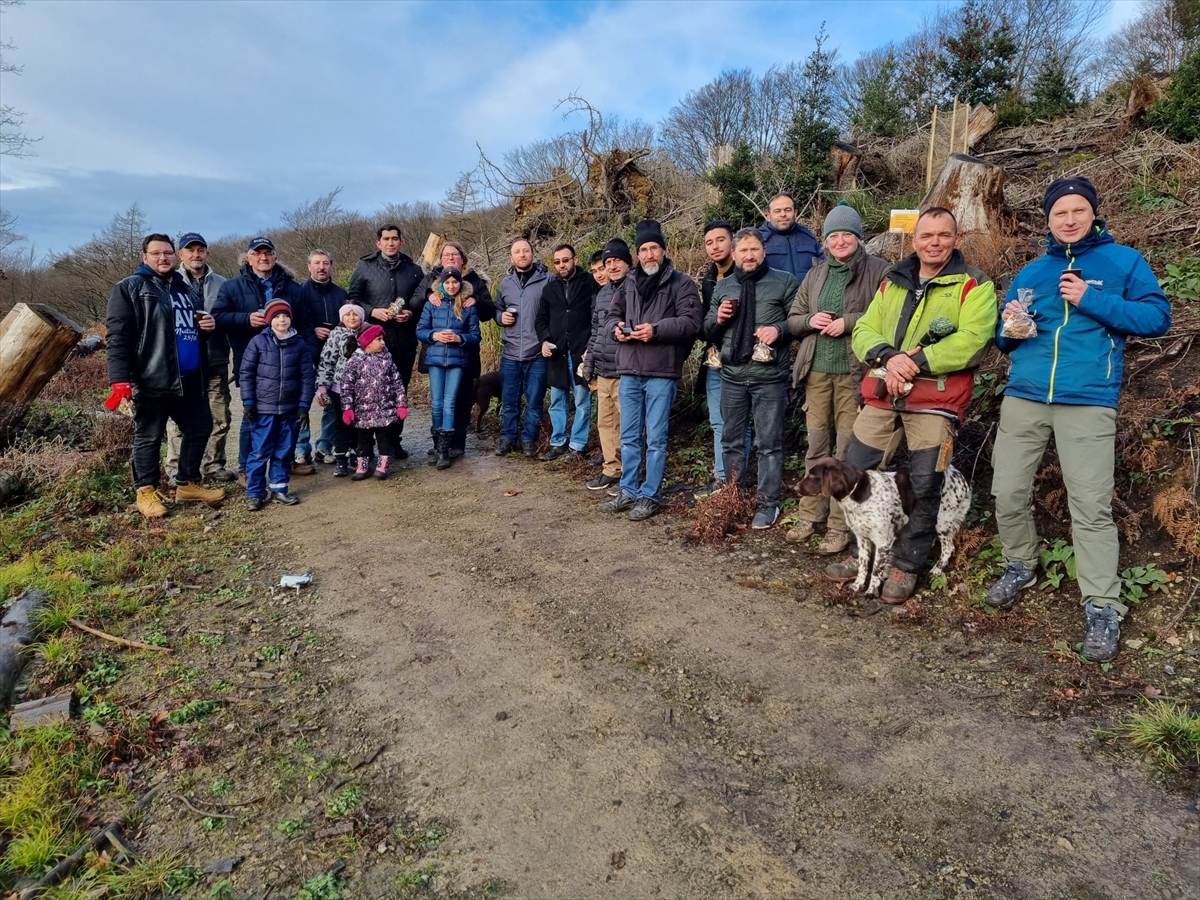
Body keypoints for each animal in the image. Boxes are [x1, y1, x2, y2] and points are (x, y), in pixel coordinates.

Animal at [796, 460, 974, 595]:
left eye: (813, 475)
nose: (795, 488)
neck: (857, 493)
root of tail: (960, 475)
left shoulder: (883, 541)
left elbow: (875, 569)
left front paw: (871, 592)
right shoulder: (862, 538)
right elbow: (863, 566)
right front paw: (857, 586)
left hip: (942, 520)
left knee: (948, 547)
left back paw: (937, 570)